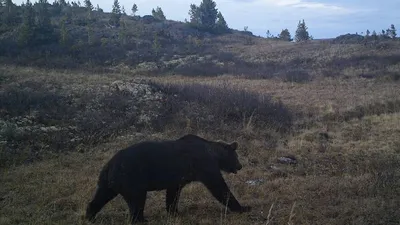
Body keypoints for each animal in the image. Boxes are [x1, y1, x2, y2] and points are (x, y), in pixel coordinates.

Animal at [86, 134, 252, 223]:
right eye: (236, 156)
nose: (240, 166)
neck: (214, 155)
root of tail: (109, 164)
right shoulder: (204, 165)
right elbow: (219, 187)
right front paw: (243, 207)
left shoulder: (178, 178)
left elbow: (173, 193)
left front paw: (174, 212)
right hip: (132, 178)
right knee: (137, 201)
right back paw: (141, 220)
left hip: (108, 182)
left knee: (100, 197)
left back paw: (90, 216)